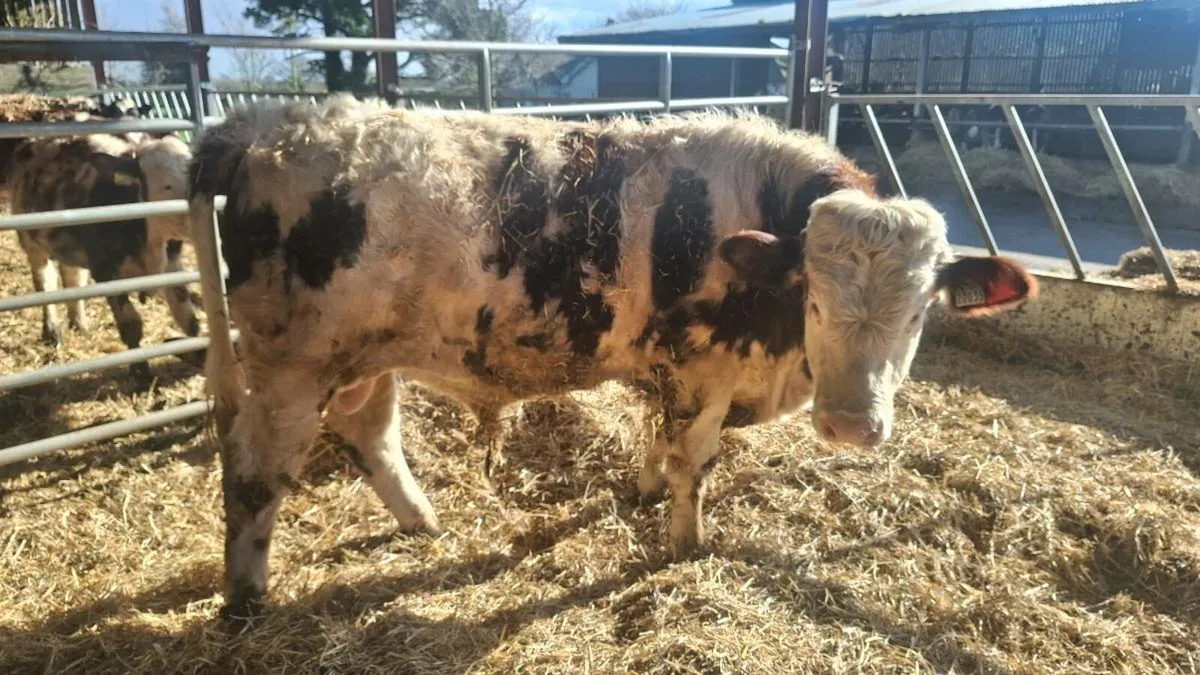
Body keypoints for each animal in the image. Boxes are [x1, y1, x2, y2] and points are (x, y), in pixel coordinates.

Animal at [9, 132, 199, 381]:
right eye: (166, 185)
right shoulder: (105, 271)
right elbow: (131, 325)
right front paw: (140, 372)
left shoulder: (173, 267)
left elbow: (189, 319)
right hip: (32, 242)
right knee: (45, 283)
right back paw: (52, 331)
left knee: (73, 278)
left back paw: (79, 324)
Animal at [187, 96, 1037, 620]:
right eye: (817, 300)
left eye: (920, 311)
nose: (855, 425)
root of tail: (264, 122)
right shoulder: (701, 372)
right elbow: (693, 461)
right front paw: (685, 547)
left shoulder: (667, 369)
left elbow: (658, 441)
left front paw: (643, 489)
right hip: (290, 369)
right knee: (255, 473)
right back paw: (246, 596)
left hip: (362, 359)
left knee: (372, 434)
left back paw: (423, 523)